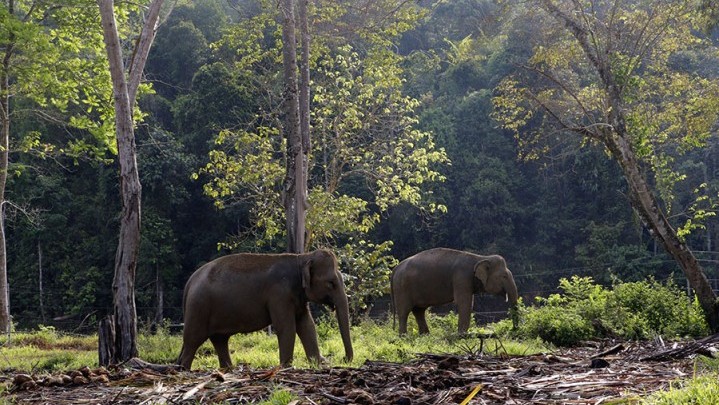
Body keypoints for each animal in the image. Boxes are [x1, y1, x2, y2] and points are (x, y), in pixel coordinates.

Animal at [176, 248, 352, 368]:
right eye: (331, 283)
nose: (343, 359)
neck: (302, 258)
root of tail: (189, 282)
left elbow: (307, 326)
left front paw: (317, 364)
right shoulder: (279, 295)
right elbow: (286, 327)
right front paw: (286, 367)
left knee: (219, 340)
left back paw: (228, 369)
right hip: (198, 308)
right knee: (193, 341)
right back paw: (184, 369)